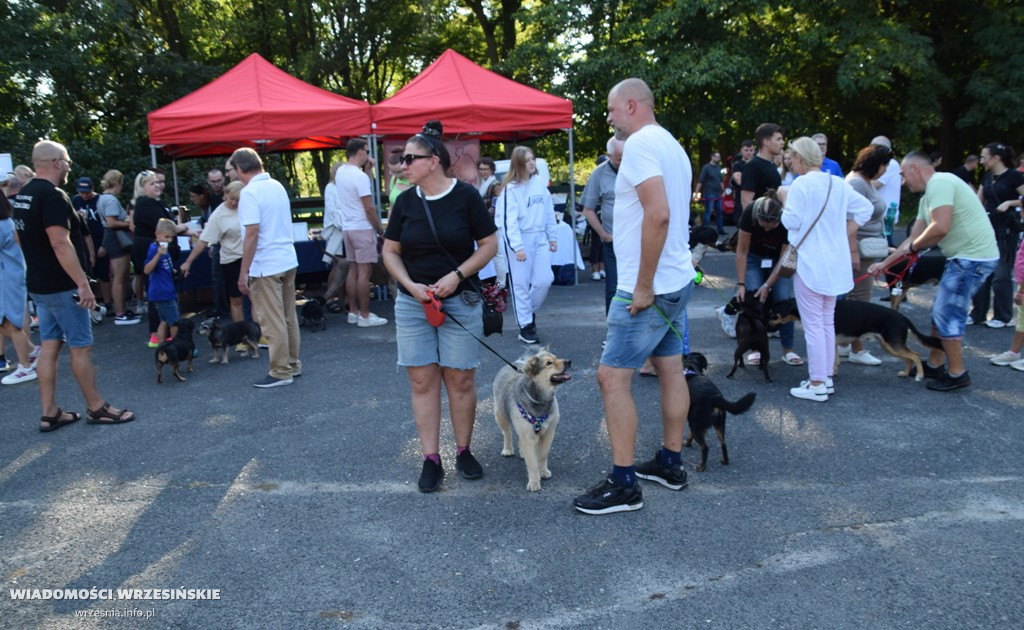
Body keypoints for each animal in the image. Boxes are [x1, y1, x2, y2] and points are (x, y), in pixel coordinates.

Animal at [770, 299, 942, 381]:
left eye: (773, 313)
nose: (767, 327)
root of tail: (902, 317)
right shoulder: (833, 342)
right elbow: (835, 360)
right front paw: (833, 373)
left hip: (893, 345)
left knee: (915, 356)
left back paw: (919, 376)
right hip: (889, 346)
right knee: (909, 359)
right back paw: (905, 374)